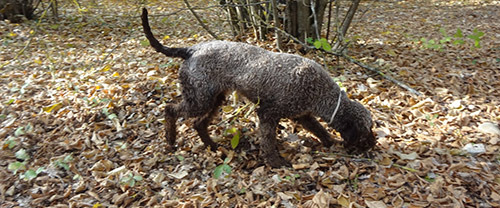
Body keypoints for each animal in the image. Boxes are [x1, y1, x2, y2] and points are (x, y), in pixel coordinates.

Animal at [141, 8, 376, 167]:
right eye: (366, 131)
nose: (374, 144)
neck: (319, 91)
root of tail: (192, 49)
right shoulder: (267, 114)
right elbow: (268, 142)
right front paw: (275, 162)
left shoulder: (302, 115)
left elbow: (319, 129)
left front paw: (329, 141)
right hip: (200, 100)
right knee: (170, 110)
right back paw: (171, 141)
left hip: (215, 98)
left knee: (198, 123)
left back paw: (212, 146)